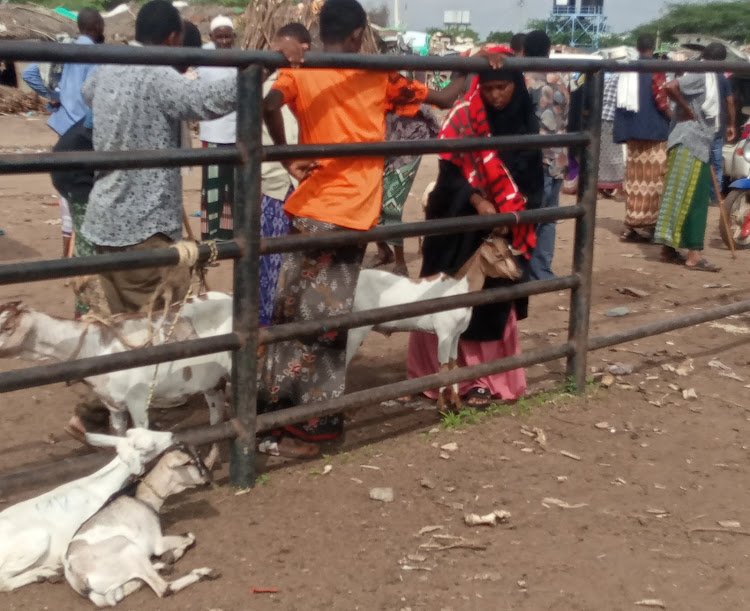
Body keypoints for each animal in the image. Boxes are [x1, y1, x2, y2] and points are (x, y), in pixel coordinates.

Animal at [0, 294, 234, 438]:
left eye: (6, 326)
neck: (95, 346)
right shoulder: (113, 405)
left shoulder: (138, 399)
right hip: (210, 380)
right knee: (216, 414)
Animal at [0, 428, 176, 592]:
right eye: (150, 445)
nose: (171, 435)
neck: (97, 486)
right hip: (37, 540)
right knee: (4, 582)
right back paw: (45, 573)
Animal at [64, 444, 217, 608]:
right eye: (192, 462)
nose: (209, 478)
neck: (142, 498)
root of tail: (78, 579)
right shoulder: (157, 542)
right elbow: (190, 536)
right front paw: (172, 555)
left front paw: (169, 557)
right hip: (128, 547)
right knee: (163, 588)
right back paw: (203, 572)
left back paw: (163, 566)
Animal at [346, 235, 524, 412]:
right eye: (499, 255)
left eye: (510, 250)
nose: (518, 273)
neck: (458, 289)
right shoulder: (444, 333)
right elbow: (442, 367)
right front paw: (442, 406)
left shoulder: (455, 334)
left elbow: (454, 365)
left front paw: (457, 403)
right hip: (357, 330)